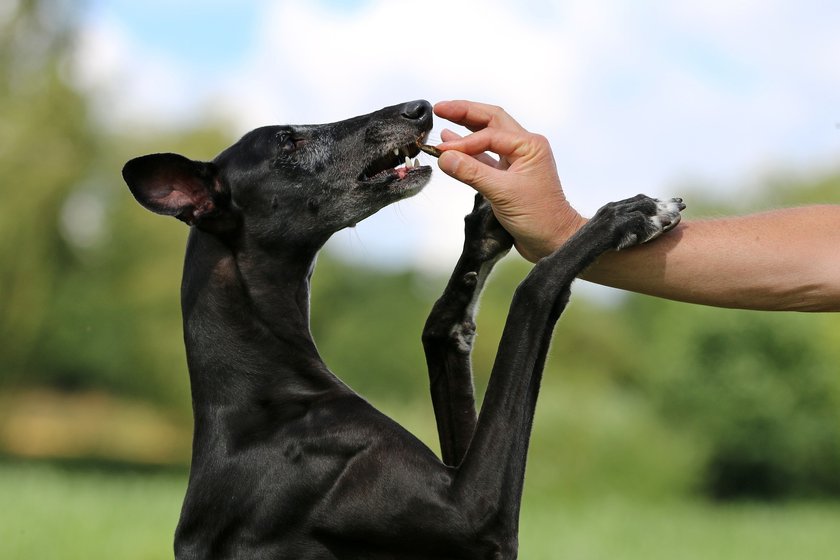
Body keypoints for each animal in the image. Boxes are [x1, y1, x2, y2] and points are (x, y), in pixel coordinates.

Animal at [121, 101, 684, 560]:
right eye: (288, 141)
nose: (419, 107)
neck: (266, 390)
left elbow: (440, 328)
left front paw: (487, 229)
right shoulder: (473, 514)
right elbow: (535, 290)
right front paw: (629, 215)